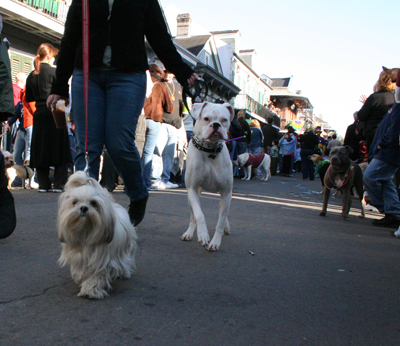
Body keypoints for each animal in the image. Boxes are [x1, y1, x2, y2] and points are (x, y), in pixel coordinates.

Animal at [184, 101, 236, 250]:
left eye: (224, 120)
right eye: (206, 119)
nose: (216, 125)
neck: (209, 149)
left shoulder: (226, 192)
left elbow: (220, 221)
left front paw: (215, 242)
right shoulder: (192, 189)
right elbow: (199, 215)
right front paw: (203, 235)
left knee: (223, 213)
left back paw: (226, 227)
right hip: (192, 196)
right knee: (193, 215)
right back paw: (189, 233)